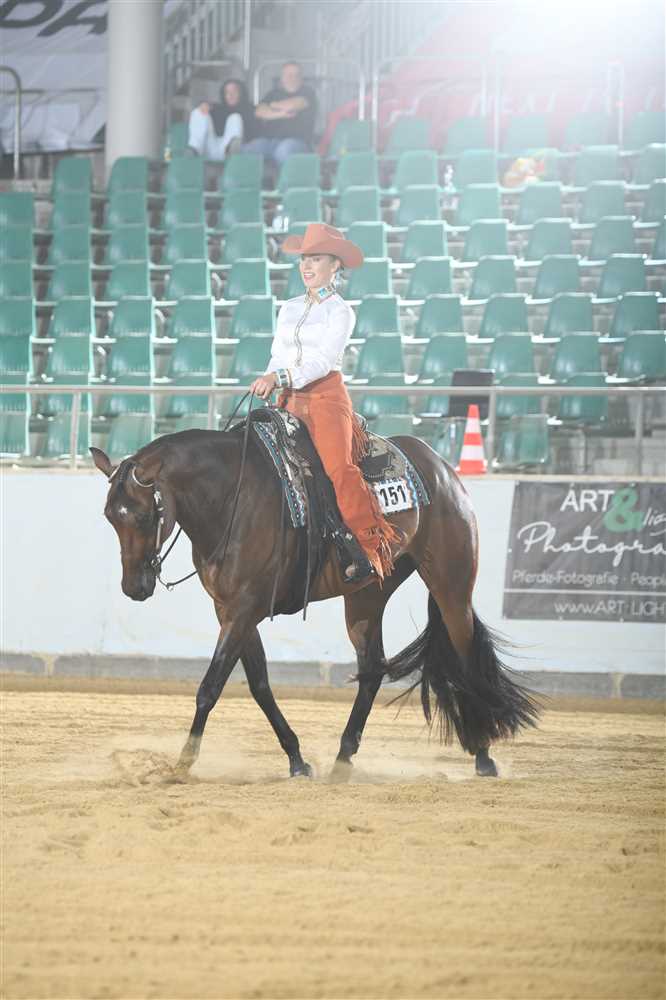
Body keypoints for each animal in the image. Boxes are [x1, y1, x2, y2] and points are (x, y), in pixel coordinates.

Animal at [91, 422, 538, 780]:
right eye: (111, 517)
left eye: (143, 516)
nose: (134, 586)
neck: (231, 497)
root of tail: (440, 468)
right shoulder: (232, 610)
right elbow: (259, 686)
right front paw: (296, 759)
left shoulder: (244, 608)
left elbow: (210, 687)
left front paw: (182, 764)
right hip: (367, 596)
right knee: (372, 669)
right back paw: (343, 758)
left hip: (451, 584)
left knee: (464, 655)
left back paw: (483, 754)